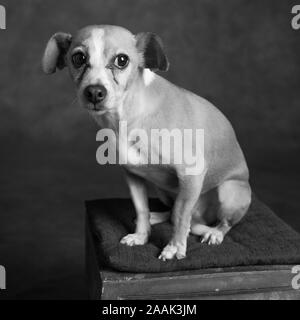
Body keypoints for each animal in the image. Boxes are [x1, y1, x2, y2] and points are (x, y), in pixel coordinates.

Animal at [41, 25, 251, 260]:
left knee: (219, 222)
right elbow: (141, 208)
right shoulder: (133, 175)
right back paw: (157, 216)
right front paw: (141, 236)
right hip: (165, 192)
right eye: (78, 58)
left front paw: (174, 247)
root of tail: (201, 216)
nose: (94, 92)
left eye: (122, 60)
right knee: (173, 211)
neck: (125, 118)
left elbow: (181, 216)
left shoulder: (191, 173)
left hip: (228, 191)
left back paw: (215, 233)